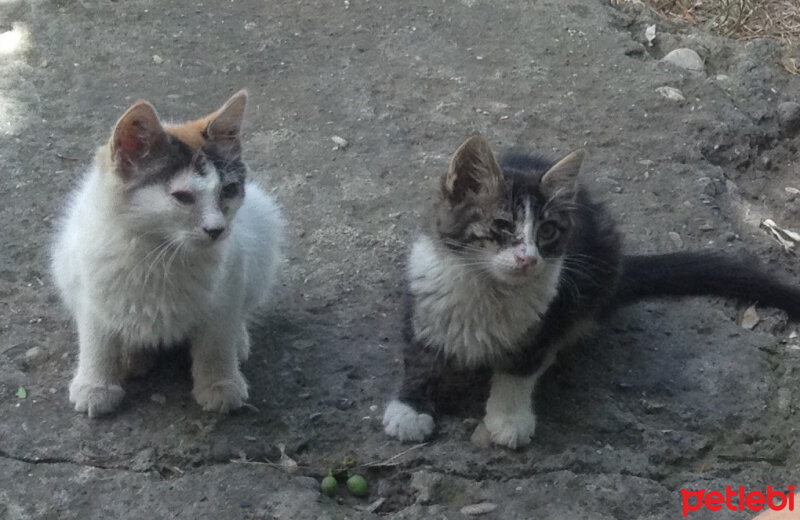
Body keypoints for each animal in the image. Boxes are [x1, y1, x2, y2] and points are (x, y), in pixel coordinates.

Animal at [50, 91, 284, 418]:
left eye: (228, 190)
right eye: (182, 197)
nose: (217, 229)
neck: (159, 253)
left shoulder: (227, 285)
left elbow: (217, 340)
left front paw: (219, 382)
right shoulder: (89, 287)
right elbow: (98, 340)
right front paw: (96, 384)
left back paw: (238, 341)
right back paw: (132, 355)